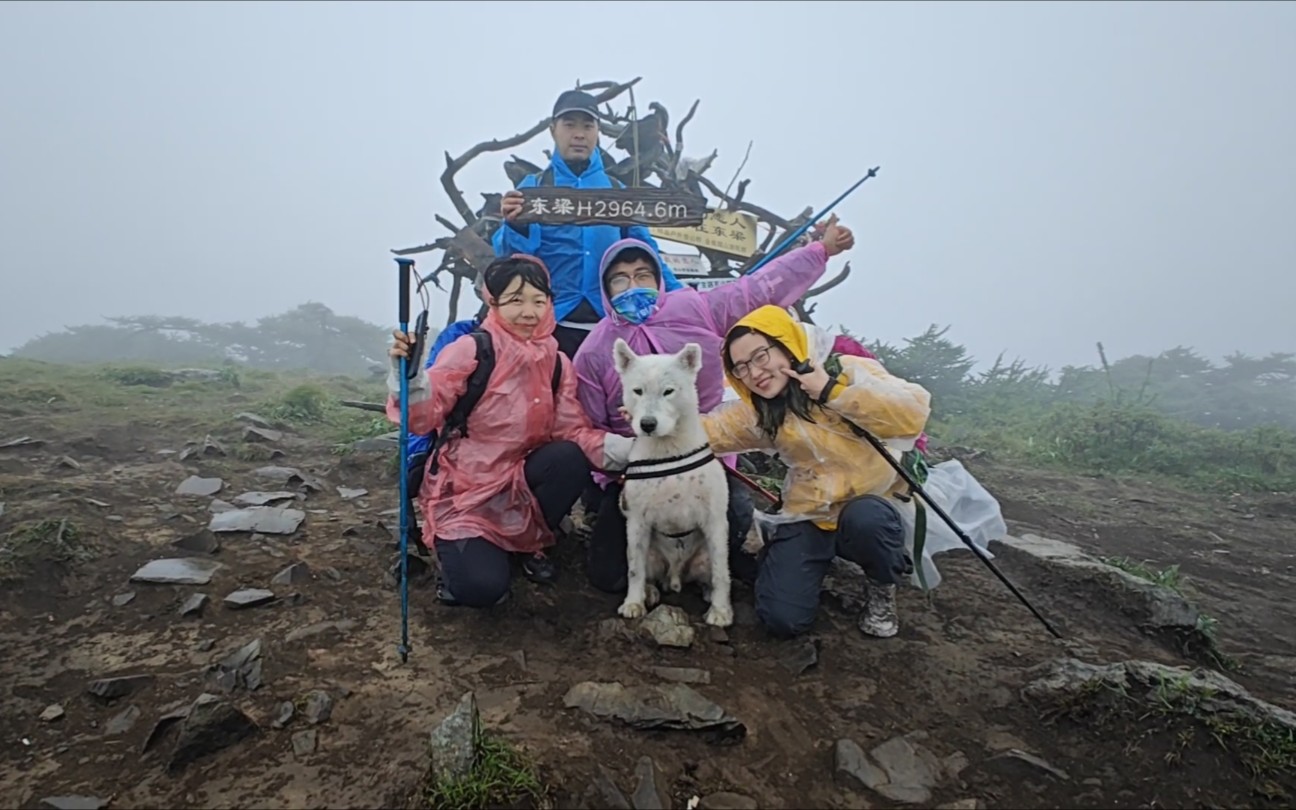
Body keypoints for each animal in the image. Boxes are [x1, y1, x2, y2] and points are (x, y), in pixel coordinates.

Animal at [606, 336, 730, 629]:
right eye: (637, 391)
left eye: (669, 391)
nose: (647, 424)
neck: (668, 451)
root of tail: (675, 575)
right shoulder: (637, 522)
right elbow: (634, 569)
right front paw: (633, 603)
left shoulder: (715, 520)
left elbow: (722, 572)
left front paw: (721, 611)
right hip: (652, 554)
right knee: (647, 573)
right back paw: (649, 592)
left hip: (704, 555)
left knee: (712, 574)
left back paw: (710, 594)